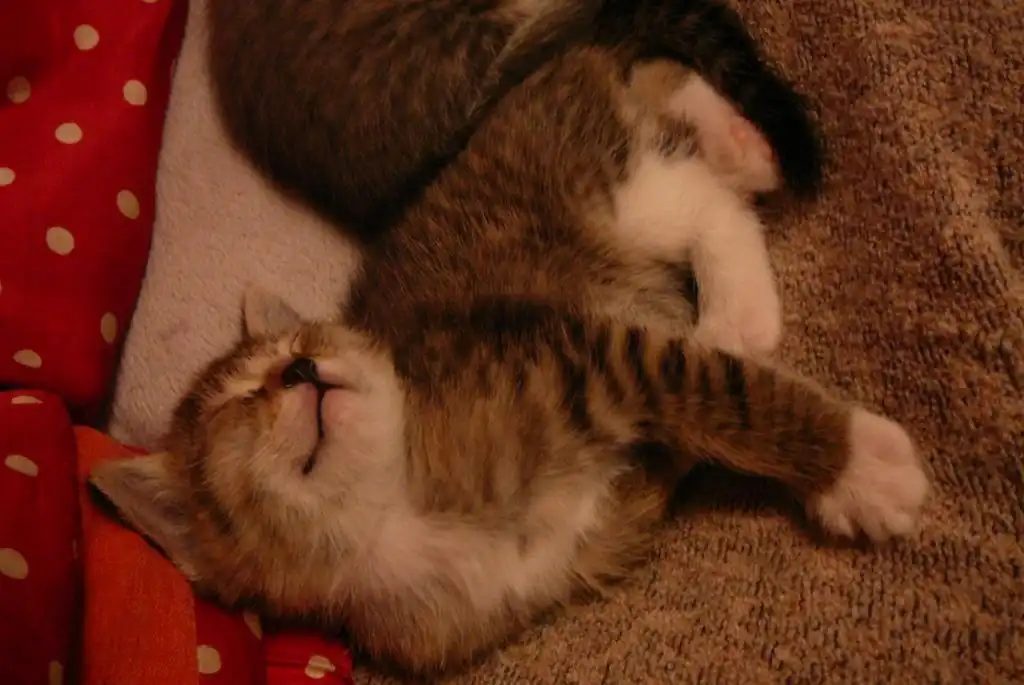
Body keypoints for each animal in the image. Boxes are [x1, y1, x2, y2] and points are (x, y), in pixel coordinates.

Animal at [91, 30, 929, 676]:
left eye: (300, 344)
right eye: (238, 404)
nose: (299, 368)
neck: (399, 504)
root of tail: (528, 86)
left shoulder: (582, 356)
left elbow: (729, 397)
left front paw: (857, 465)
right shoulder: (569, 543)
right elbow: (703, 406)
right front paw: (840, 464)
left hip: (607, 190)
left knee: (687, 167)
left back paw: (737, 215)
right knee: (693, 174)